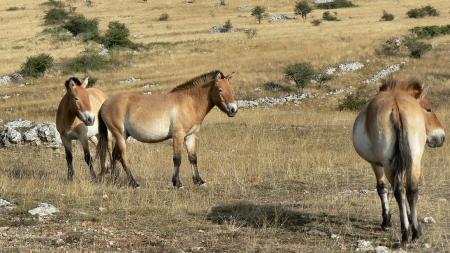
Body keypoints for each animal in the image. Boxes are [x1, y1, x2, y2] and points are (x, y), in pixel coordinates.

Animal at [96, 70, 237, 189]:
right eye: (220, 89)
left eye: (232, 89)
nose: (233, 110)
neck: (189, 103)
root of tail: (105, 103)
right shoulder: (178, 135)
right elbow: (177, 159)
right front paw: (178, 183)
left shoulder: (190, 136)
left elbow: (193, 157)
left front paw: (199, 181)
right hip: (119, 134)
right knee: (123, 157)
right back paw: (134, 183)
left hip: (124, 135)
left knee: (115, 155)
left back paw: (114, 180)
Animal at [354, 75, 444, 247]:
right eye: (428, 109)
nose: (441, 137)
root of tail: (396, 105)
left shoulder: (378, 165)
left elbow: (382, 188)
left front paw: (387, 222)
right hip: (414, 161)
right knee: (411, 190)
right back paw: (415, 232)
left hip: (389, 164)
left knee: (400, 191)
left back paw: (406, 233)